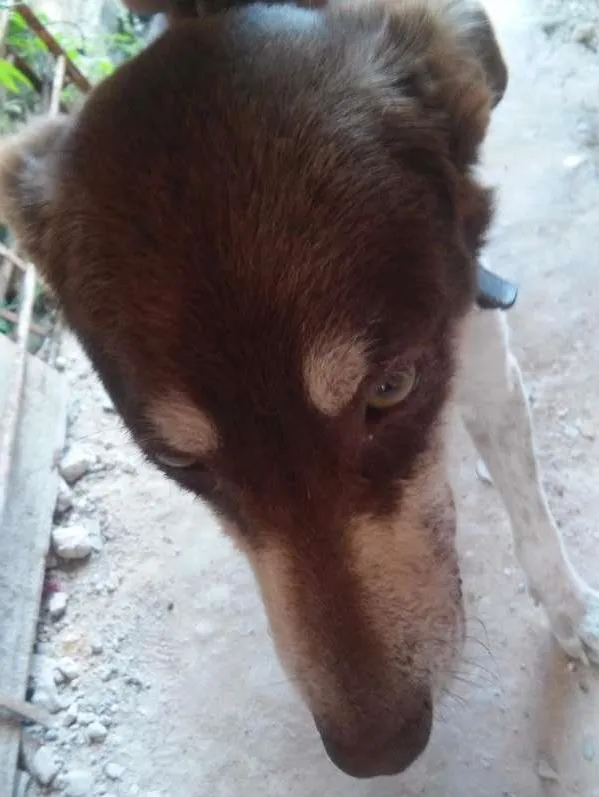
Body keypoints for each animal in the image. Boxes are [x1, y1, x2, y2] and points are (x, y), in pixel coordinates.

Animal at [1, 0, 599, 776]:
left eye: (390, 388)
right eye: (177, 461)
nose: (377, 751)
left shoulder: (477, 341)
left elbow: (530, 504)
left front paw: (571, 610)